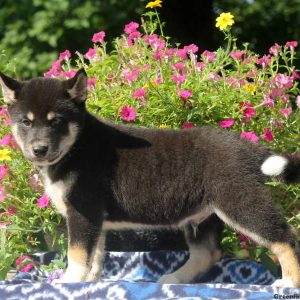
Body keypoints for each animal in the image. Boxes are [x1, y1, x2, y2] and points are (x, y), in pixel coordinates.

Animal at [0, 69, 298, 288]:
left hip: (239, 201)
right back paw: (174, 278)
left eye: (56, 122)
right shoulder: (94, 218)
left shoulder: (83, 211)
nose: (39, 149)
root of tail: (247, 147)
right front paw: (91, 281)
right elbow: (95, 255)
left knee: (285, 237)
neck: (77, 146)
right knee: (208, 253)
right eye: (26, 122)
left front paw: (69, 282)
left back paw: (289, 282)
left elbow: (77, 254)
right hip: (203, 216)